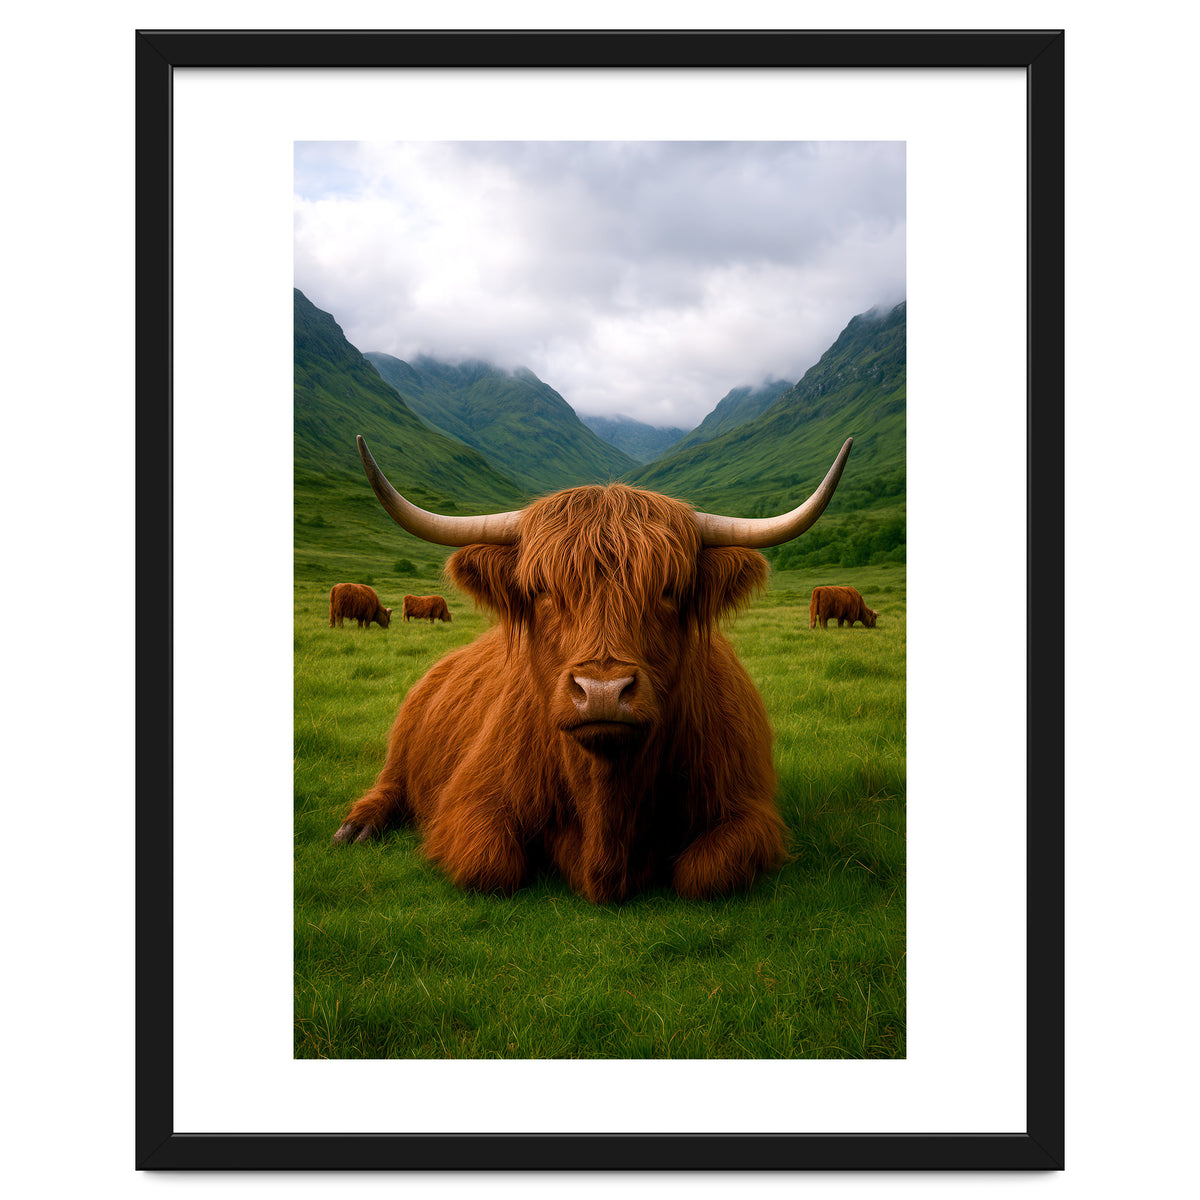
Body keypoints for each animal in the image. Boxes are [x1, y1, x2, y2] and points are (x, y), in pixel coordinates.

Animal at [334, 433, 854, 903]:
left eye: (669, 590)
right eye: (542, 589)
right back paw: (357, 827)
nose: (602, 691)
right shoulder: (470, 800)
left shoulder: (747, 810)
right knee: (390, 783)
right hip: (403, 743)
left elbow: (705, 874)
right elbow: (491, 865)